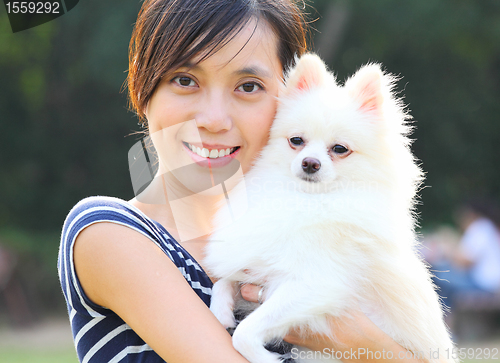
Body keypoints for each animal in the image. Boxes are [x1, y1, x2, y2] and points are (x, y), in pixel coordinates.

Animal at [204, 54, 458, 363]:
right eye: (296, 141)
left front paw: (265, 358)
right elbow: (225, 280)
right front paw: (220, 312)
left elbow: (244, 333)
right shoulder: (258, 264)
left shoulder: (314, 285)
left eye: (339, 149)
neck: (308, 200)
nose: (310, 163)